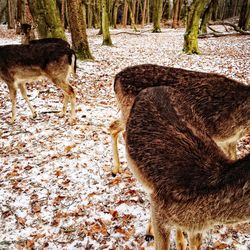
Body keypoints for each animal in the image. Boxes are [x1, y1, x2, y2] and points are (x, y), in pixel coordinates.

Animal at [109, 64, 250, 176]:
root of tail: (116, 79)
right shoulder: (217, 136)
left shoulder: (231, 141)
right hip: (130, 110)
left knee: (114, 126)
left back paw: (116, 169)